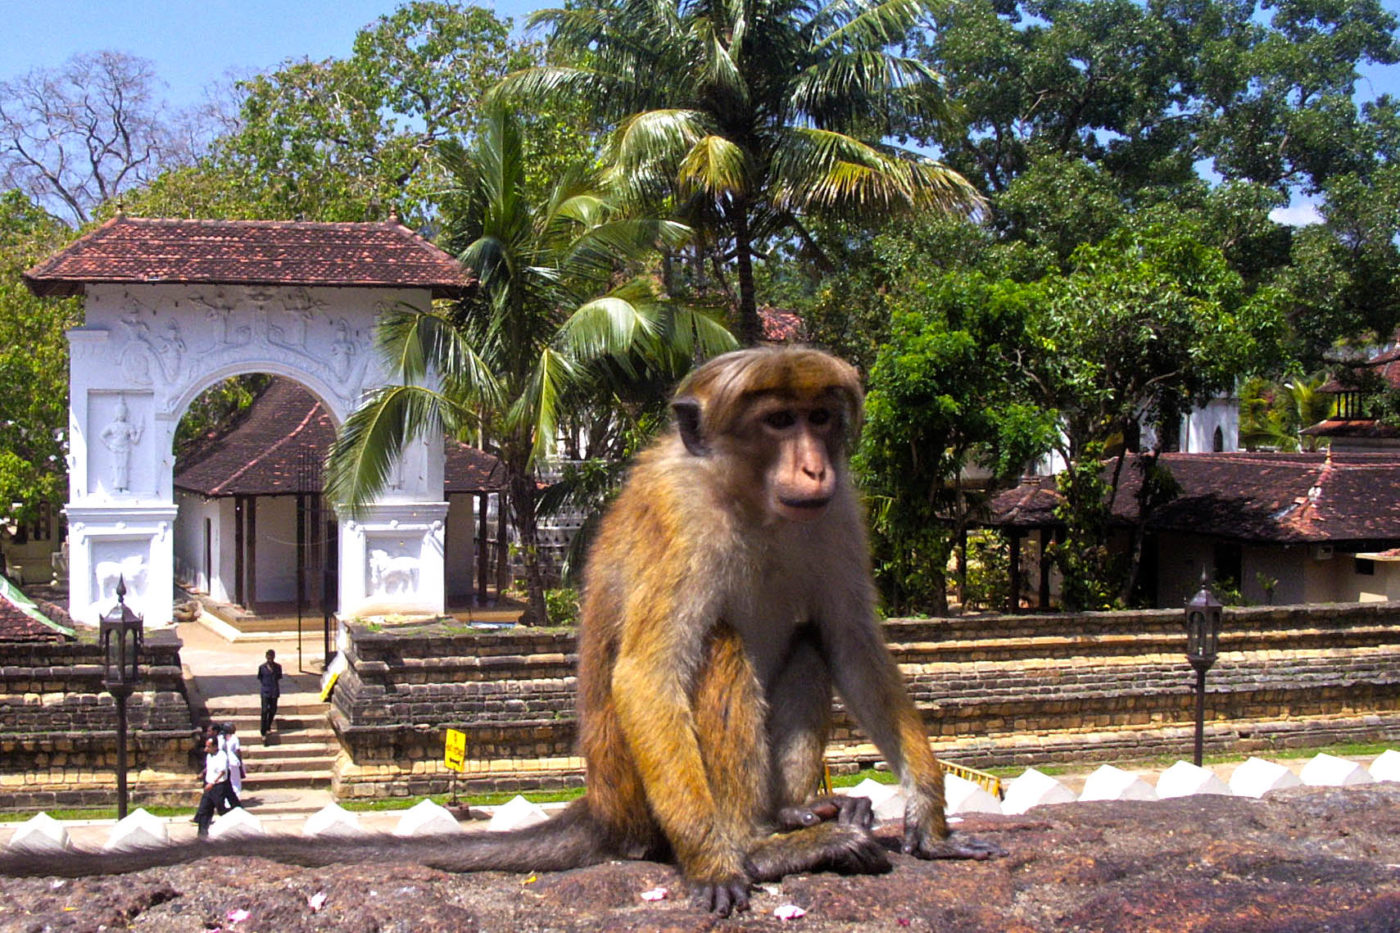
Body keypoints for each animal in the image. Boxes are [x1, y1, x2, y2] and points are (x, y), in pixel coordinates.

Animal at [5, 343, 1002, 907]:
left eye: (821, 419)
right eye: (778, 418)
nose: (812, 462)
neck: (752, 499)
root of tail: (604, 801)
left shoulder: (842, 513)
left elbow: (854, 643)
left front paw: (930, 811)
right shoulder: (682, 522)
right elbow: (649, 674)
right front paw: (724, 865)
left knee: (799, 644)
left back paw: (794, 809)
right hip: (640, 788)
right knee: (716, 649)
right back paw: (762, 842)